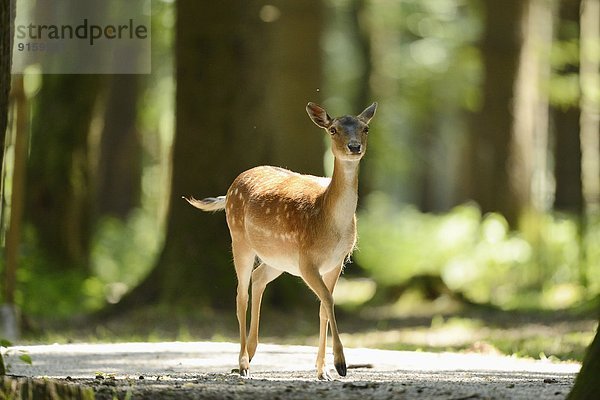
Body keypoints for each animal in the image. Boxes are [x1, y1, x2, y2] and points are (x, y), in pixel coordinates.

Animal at [185, 101, 378, 380]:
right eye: (333, 130)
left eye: (365, 128)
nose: (354, 147)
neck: (328, 224)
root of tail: (229, 191)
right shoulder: (307, 260)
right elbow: (328, 300)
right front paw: (341, 364)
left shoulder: (337, 261)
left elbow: (323, 306)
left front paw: (323, 370)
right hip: (239, 239)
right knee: (240, 294)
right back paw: (243, 363)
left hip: (278, 260)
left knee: (258, 278)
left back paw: (251, 352)